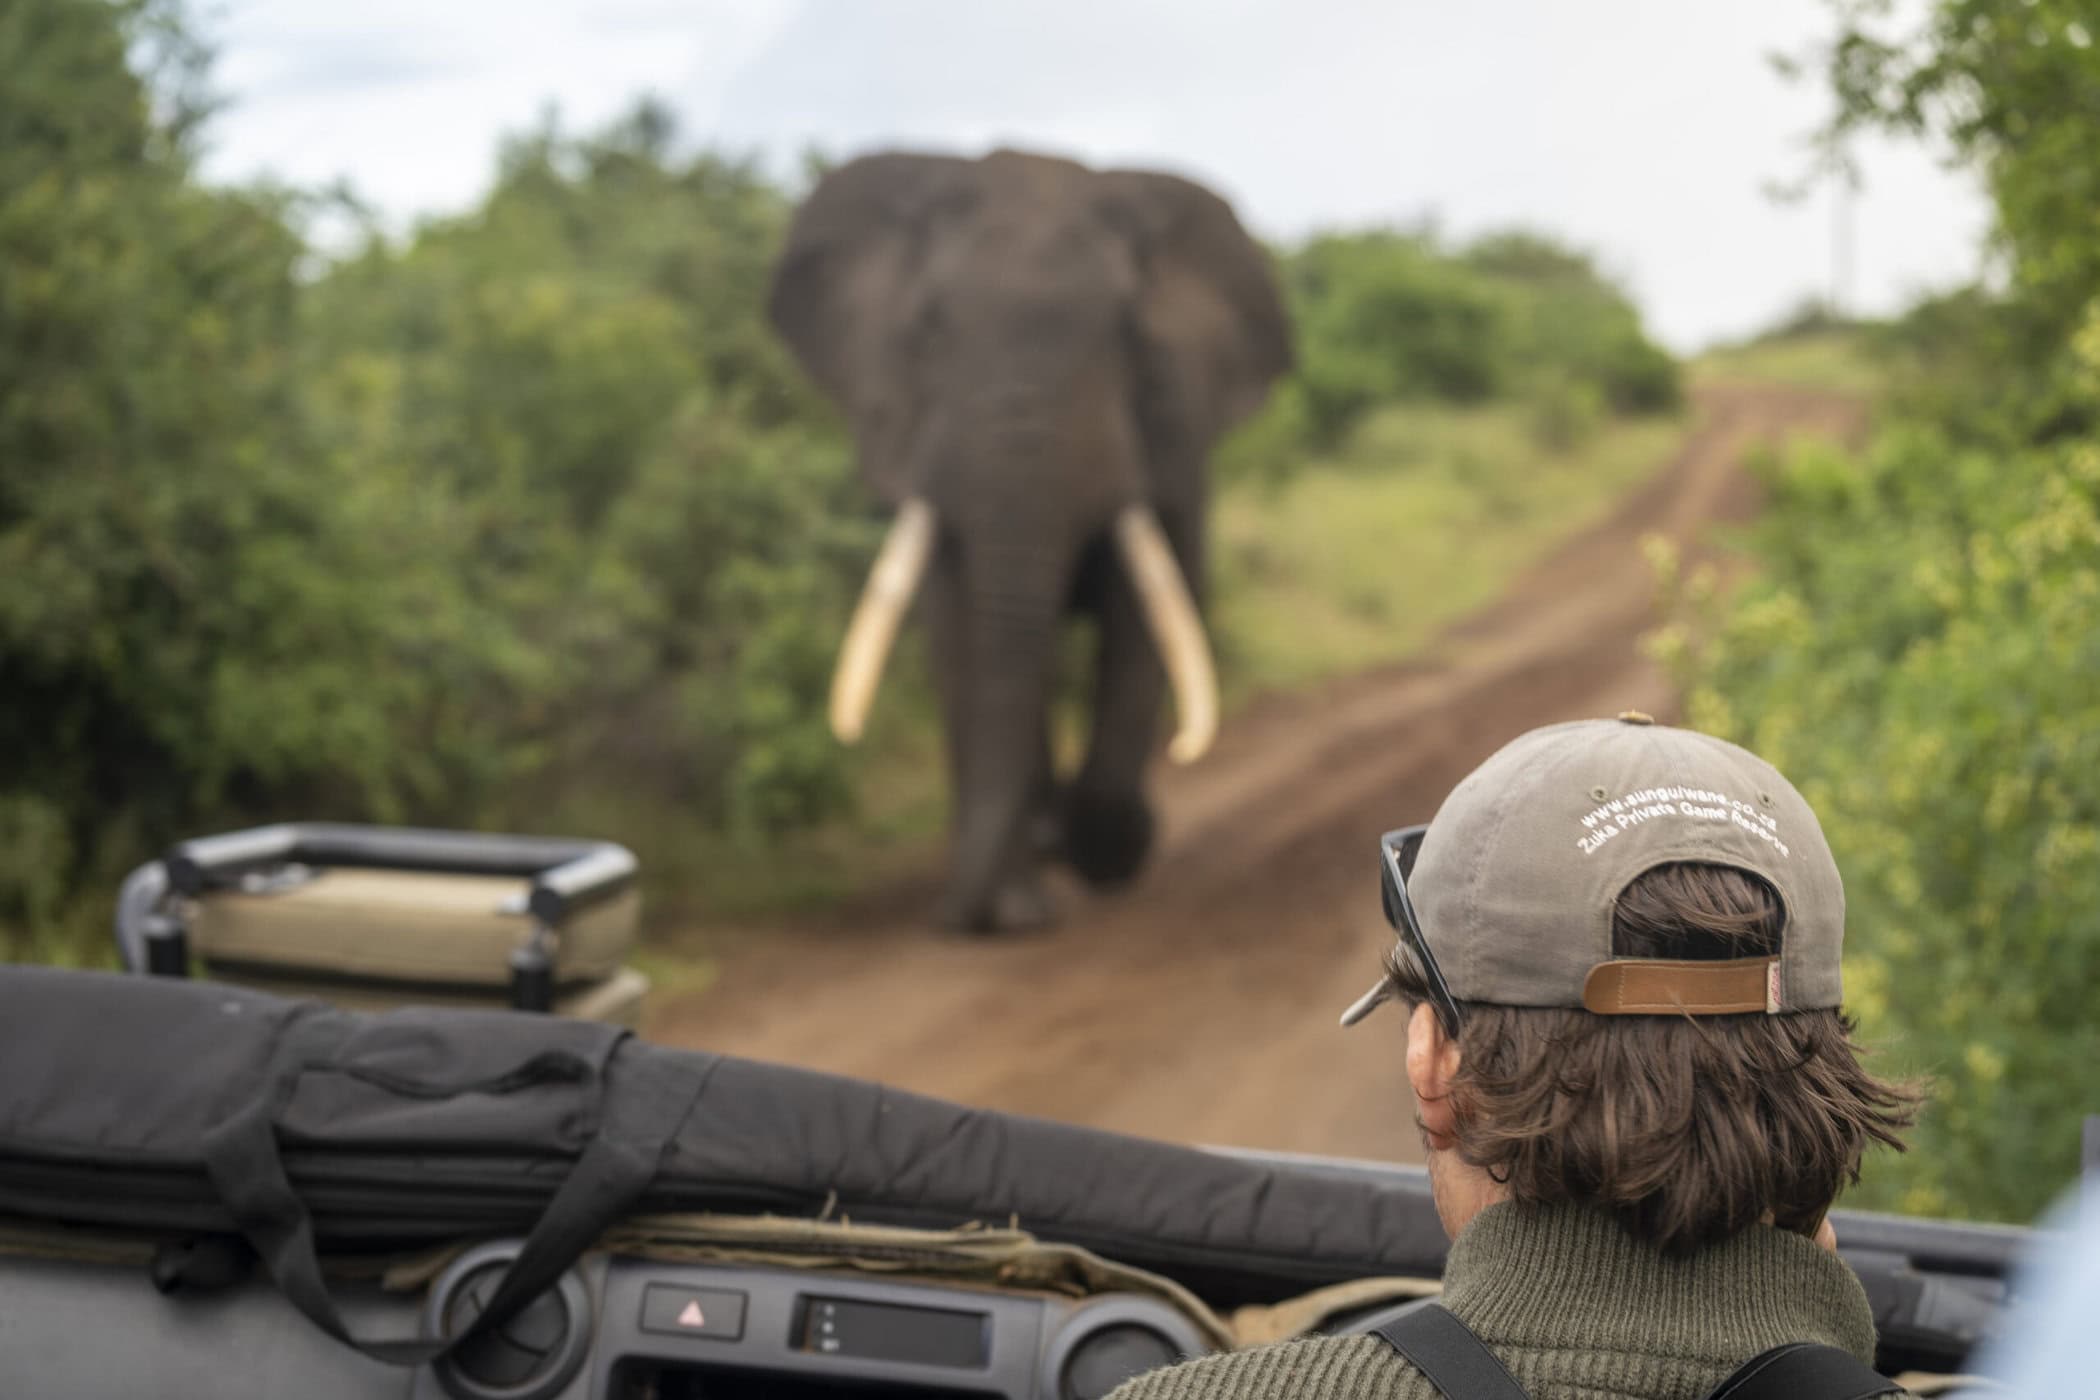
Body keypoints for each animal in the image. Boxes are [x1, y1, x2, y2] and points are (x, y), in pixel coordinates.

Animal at [772, 147, 1293, 936]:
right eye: (928, 327)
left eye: (1129, 332)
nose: (958, 918)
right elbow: (961, 636)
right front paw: (1011, 913)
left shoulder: (1172, 436)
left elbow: (1141, 624)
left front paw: (1106, 846)